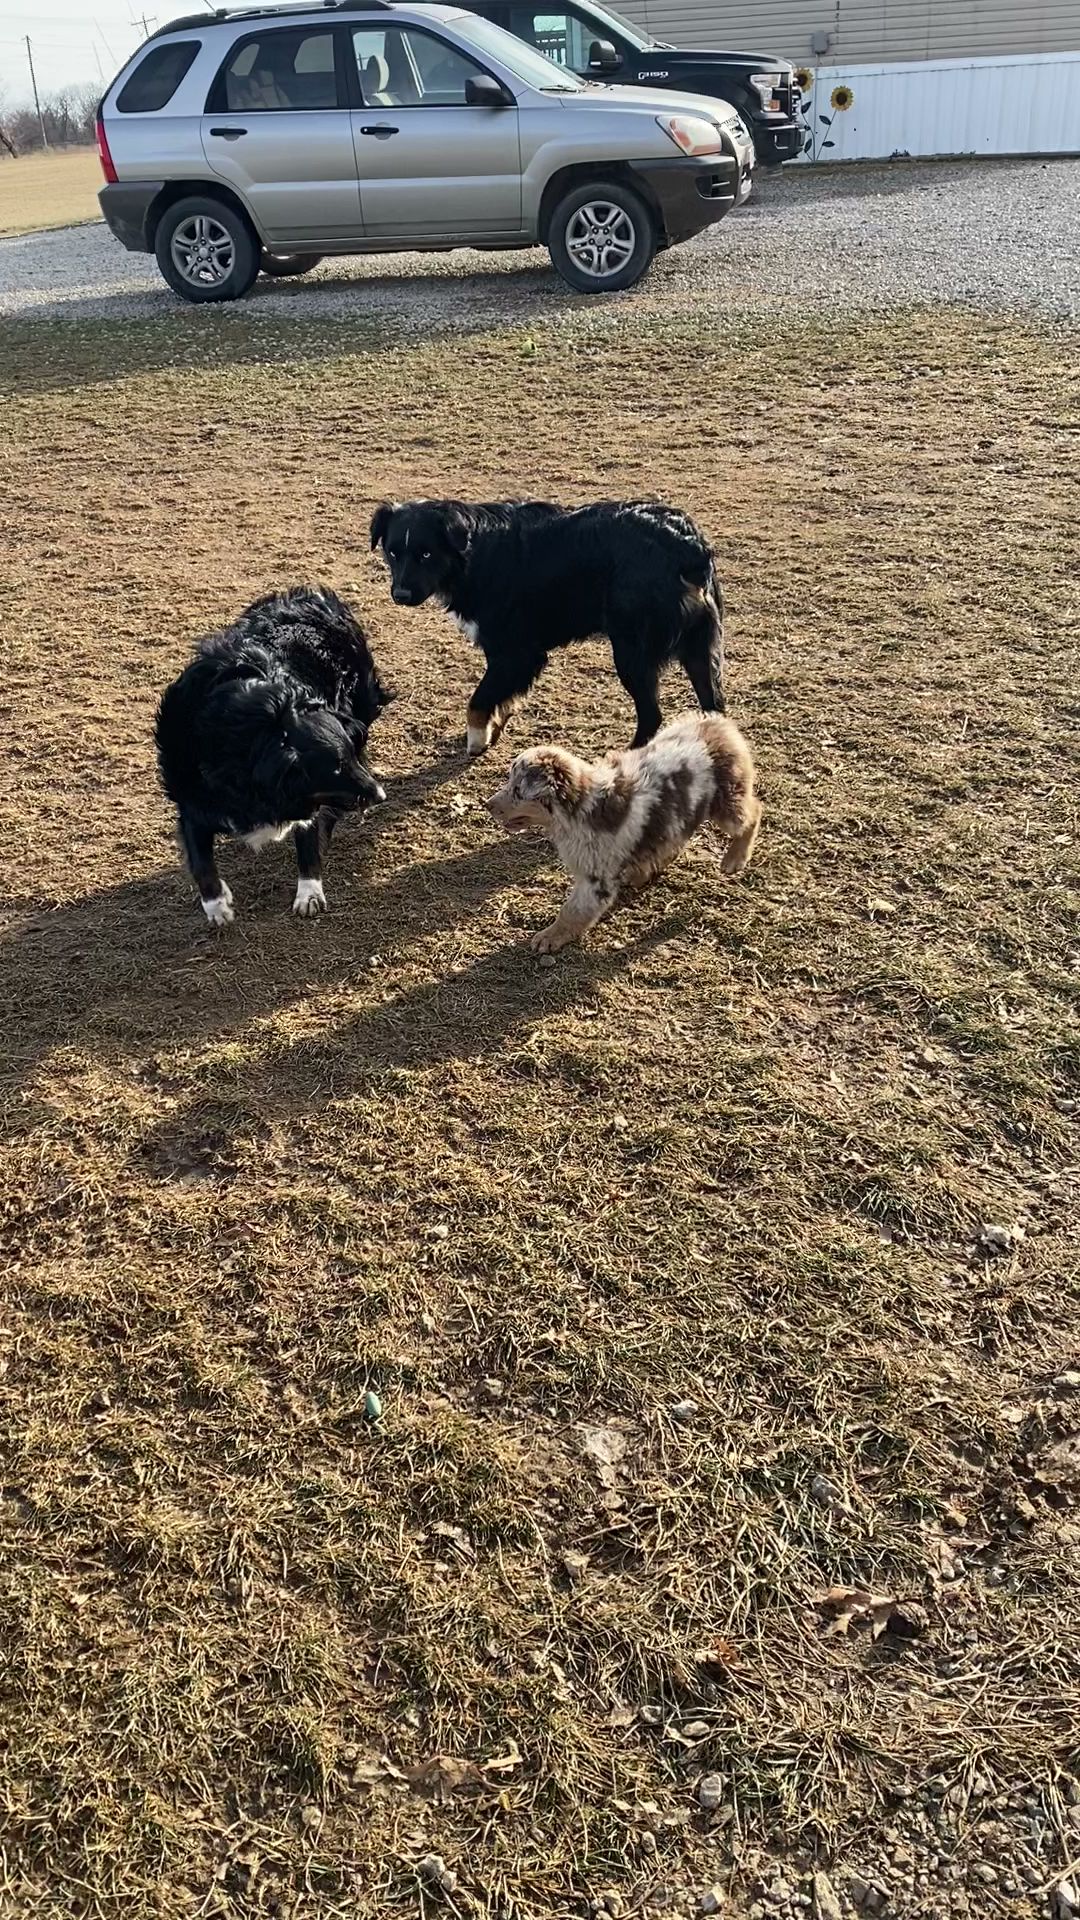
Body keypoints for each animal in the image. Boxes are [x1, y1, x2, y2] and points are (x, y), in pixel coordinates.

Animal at [155, 587, 391, 925]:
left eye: (347, 759)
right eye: (334, 770)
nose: (380, 795)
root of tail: (314, 593)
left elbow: (308, 839)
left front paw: (309, 893)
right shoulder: (192, 800)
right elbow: (201, 863)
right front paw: (217, 905)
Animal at [370, 497, 725, 756]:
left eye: (426, 554)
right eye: (392, 553)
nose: (400, 595)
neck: (474, 553)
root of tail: (688, 545)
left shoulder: (516, 653)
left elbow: (478, 701)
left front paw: (477, 740)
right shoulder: (510, 657)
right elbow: (501, 698)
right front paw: (495, 728)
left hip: (631, 652)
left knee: (652, 715)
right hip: (698, 652)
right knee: (714, 705)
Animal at [487, 712, 759, 953]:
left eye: (518, 791)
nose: (488, 804)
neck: (580, 807)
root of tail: (716, 723)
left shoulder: (595, 878)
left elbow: (572, 911)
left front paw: (549, 938)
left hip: (726, 802)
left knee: (754, 813)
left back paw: (734, 859)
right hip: (680, 813)